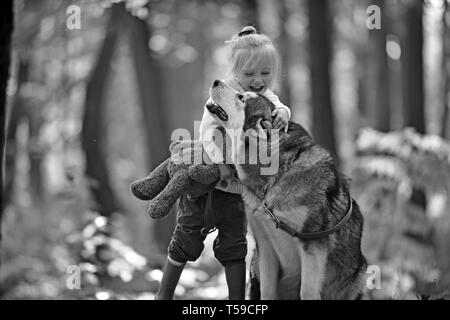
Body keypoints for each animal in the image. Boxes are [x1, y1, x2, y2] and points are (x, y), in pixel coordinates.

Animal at [207, 80, 366, 300]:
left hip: (359, 274)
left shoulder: (312, 244)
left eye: (241, 97)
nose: (216, 81)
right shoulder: (264, 245)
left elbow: (307, 291)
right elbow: (267, 292)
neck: (275, 179)